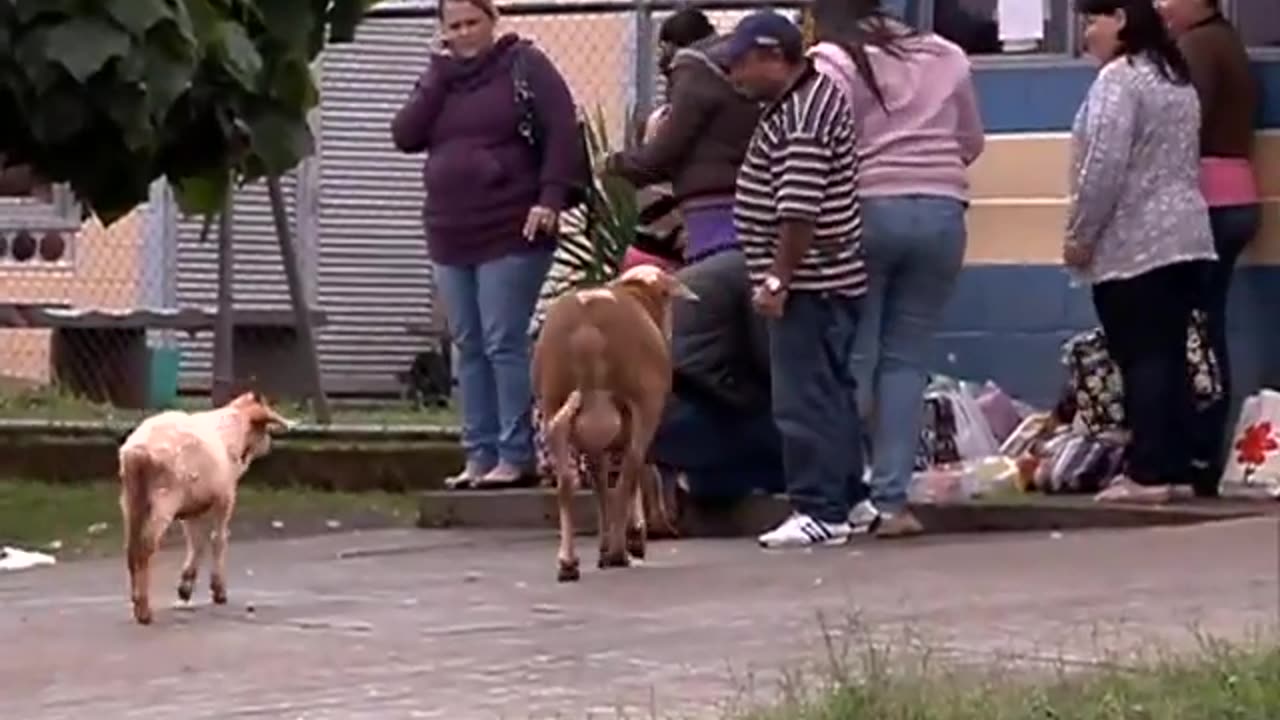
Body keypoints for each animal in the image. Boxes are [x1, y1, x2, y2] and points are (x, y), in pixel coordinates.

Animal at [117, 389, 290, 620]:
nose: (269, 446)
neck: (234, 430)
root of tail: (138, 450)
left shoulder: (191, 509)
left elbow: (196, 544)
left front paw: (185, 588)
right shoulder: (225, 498)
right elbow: (219, 540)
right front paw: (218, 591)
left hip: (131, 498)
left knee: (131, 547)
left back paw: (137, 602)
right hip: (165, 497)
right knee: (145, 546)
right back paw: (144, 612)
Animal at [532, 262, 701, 576]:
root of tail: (587, 331)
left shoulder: (597, 443)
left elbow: (600, 483)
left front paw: (604, 544)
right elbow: (640, 473)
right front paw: (631, 537)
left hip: (553, 398)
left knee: (568, 480)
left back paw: (569, 562)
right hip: (643, 402)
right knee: (629, 473)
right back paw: (620, 552)